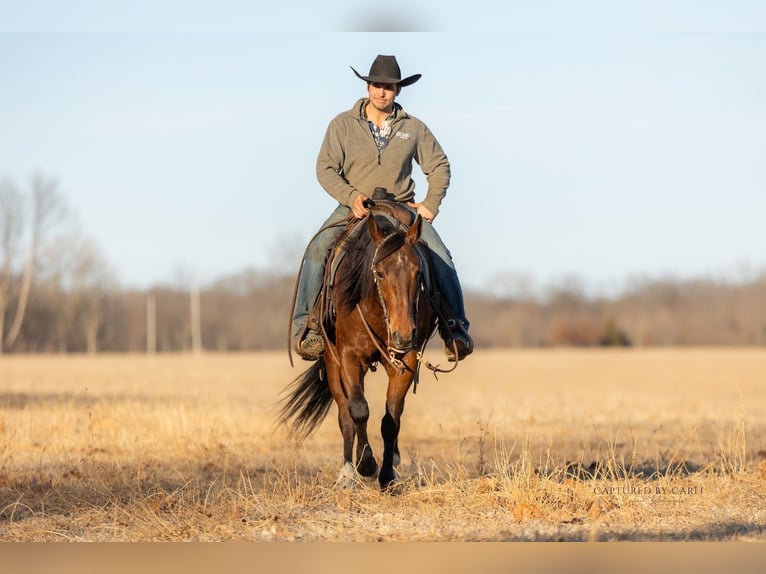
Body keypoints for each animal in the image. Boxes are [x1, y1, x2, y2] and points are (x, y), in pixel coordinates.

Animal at [279, 200, 439, 490]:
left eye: (418, 272)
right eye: (380, 273)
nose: (403, 334)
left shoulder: (405, 361)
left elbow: (391, 419)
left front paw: (386, 475)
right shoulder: (349, 357)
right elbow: (358, 410)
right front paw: (366, 464)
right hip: (333, 364)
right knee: (345, 414)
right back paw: (347, 473)